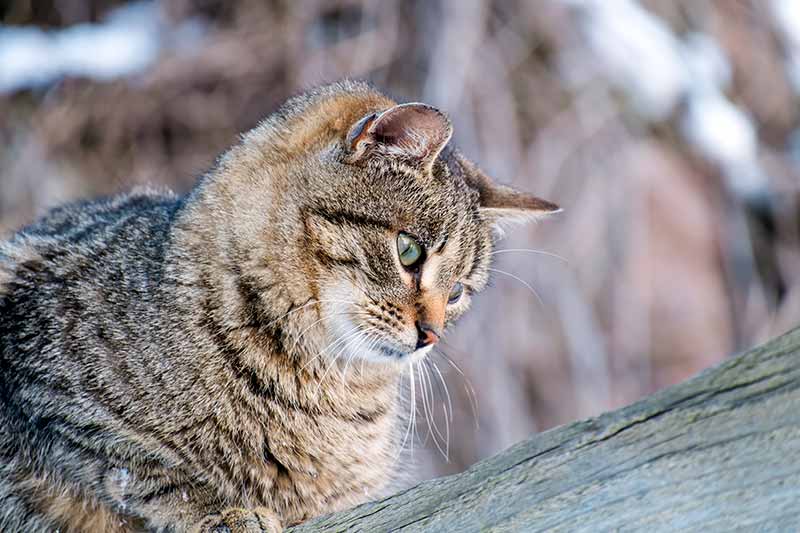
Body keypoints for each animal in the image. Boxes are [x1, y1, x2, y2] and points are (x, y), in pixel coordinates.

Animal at [0, 80, 560, 532]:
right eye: (410, 252)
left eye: (459, 291)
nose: (432, 334)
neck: (325, 386)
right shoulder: (44, 389)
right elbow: (131, 464)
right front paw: (222, 511)